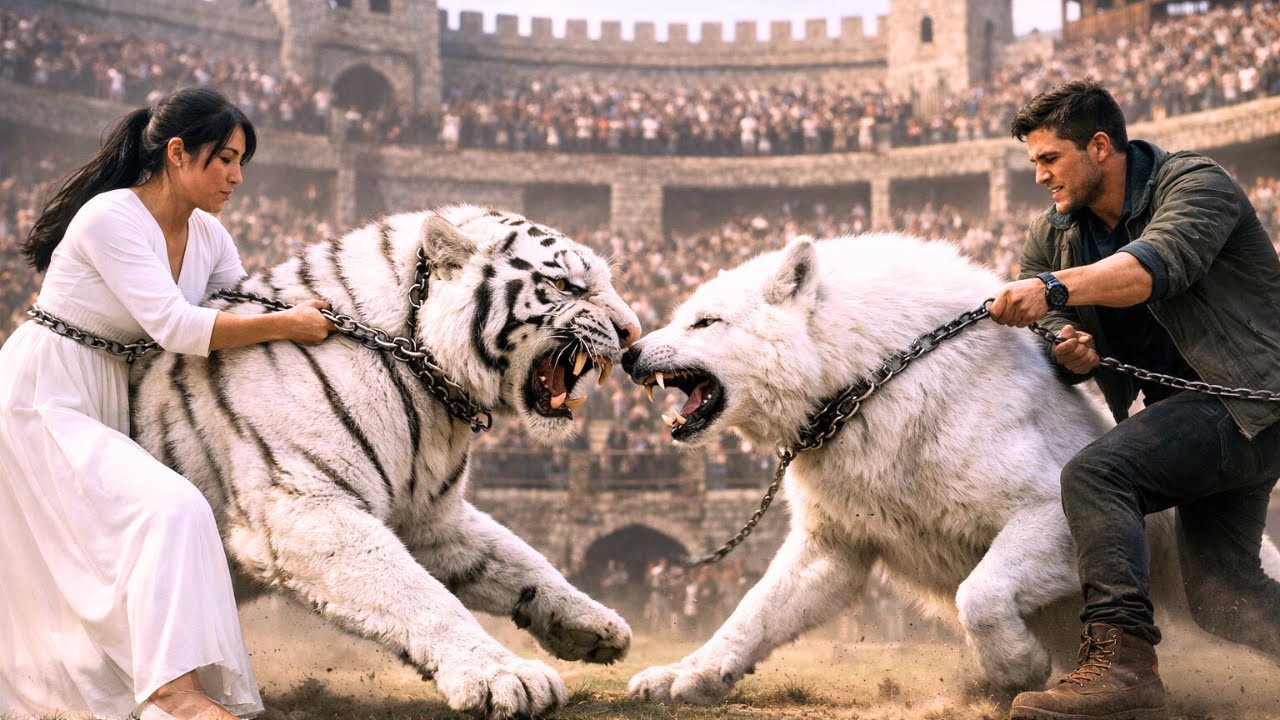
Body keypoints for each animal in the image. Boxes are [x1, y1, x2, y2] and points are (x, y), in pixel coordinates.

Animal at [129, 205, 640, 719]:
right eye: (566, 286)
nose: (633, 333)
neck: (425, 372)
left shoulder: (430, 517)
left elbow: (519, 560)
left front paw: (594, 624)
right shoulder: (304, 508)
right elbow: (418, 593)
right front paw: (503, 676)